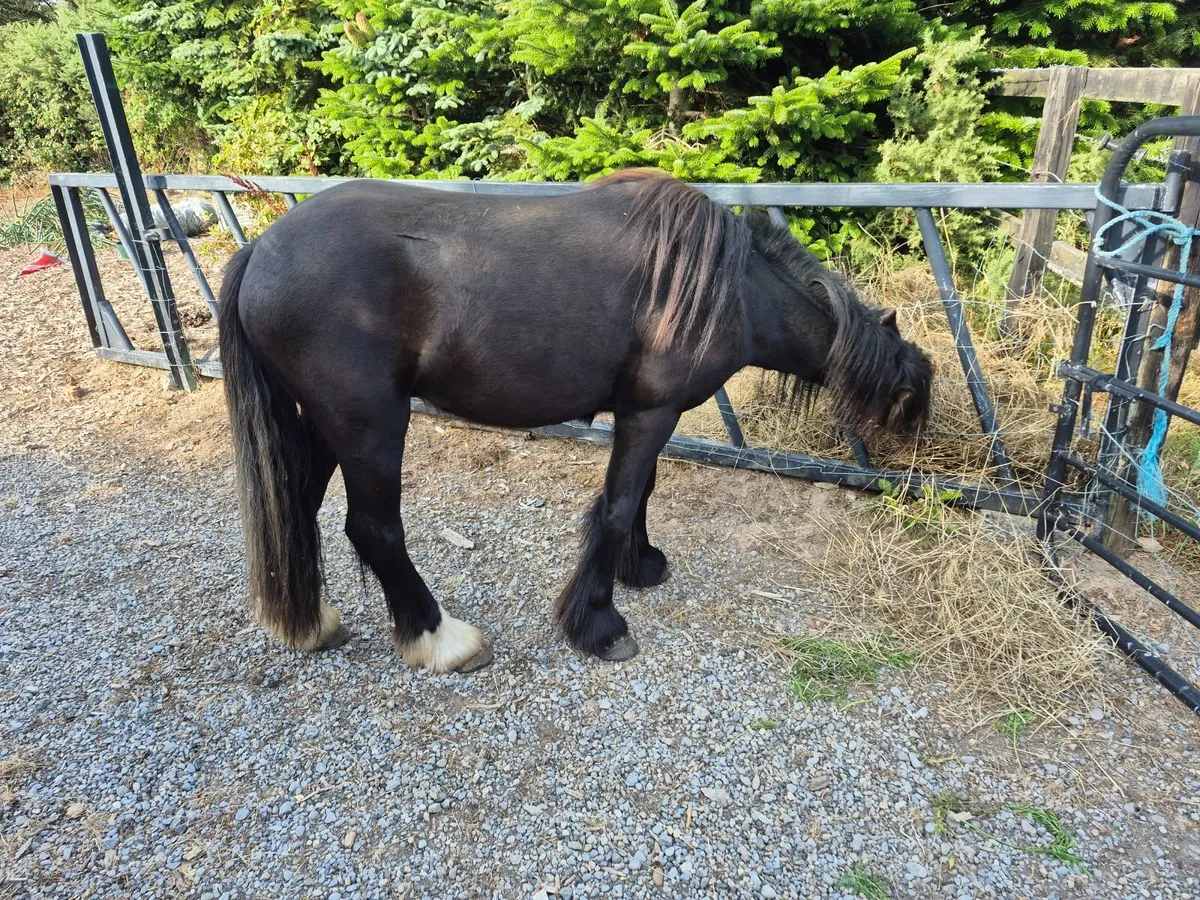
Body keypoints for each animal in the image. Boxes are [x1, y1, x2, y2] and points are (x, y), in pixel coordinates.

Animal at [217, 169, 933, 673]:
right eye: (914, 398)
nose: (916, 465)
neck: (729, 288)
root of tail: (260, 250)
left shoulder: (643, 414)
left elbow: (639, 494)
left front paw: (640, 566)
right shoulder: (652, 412)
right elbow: (617, 506)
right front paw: (599, 621)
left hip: (326, 422)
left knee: (299, 503)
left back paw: (309, 623)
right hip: (368, 423)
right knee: (374, 528)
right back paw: (441, 640)